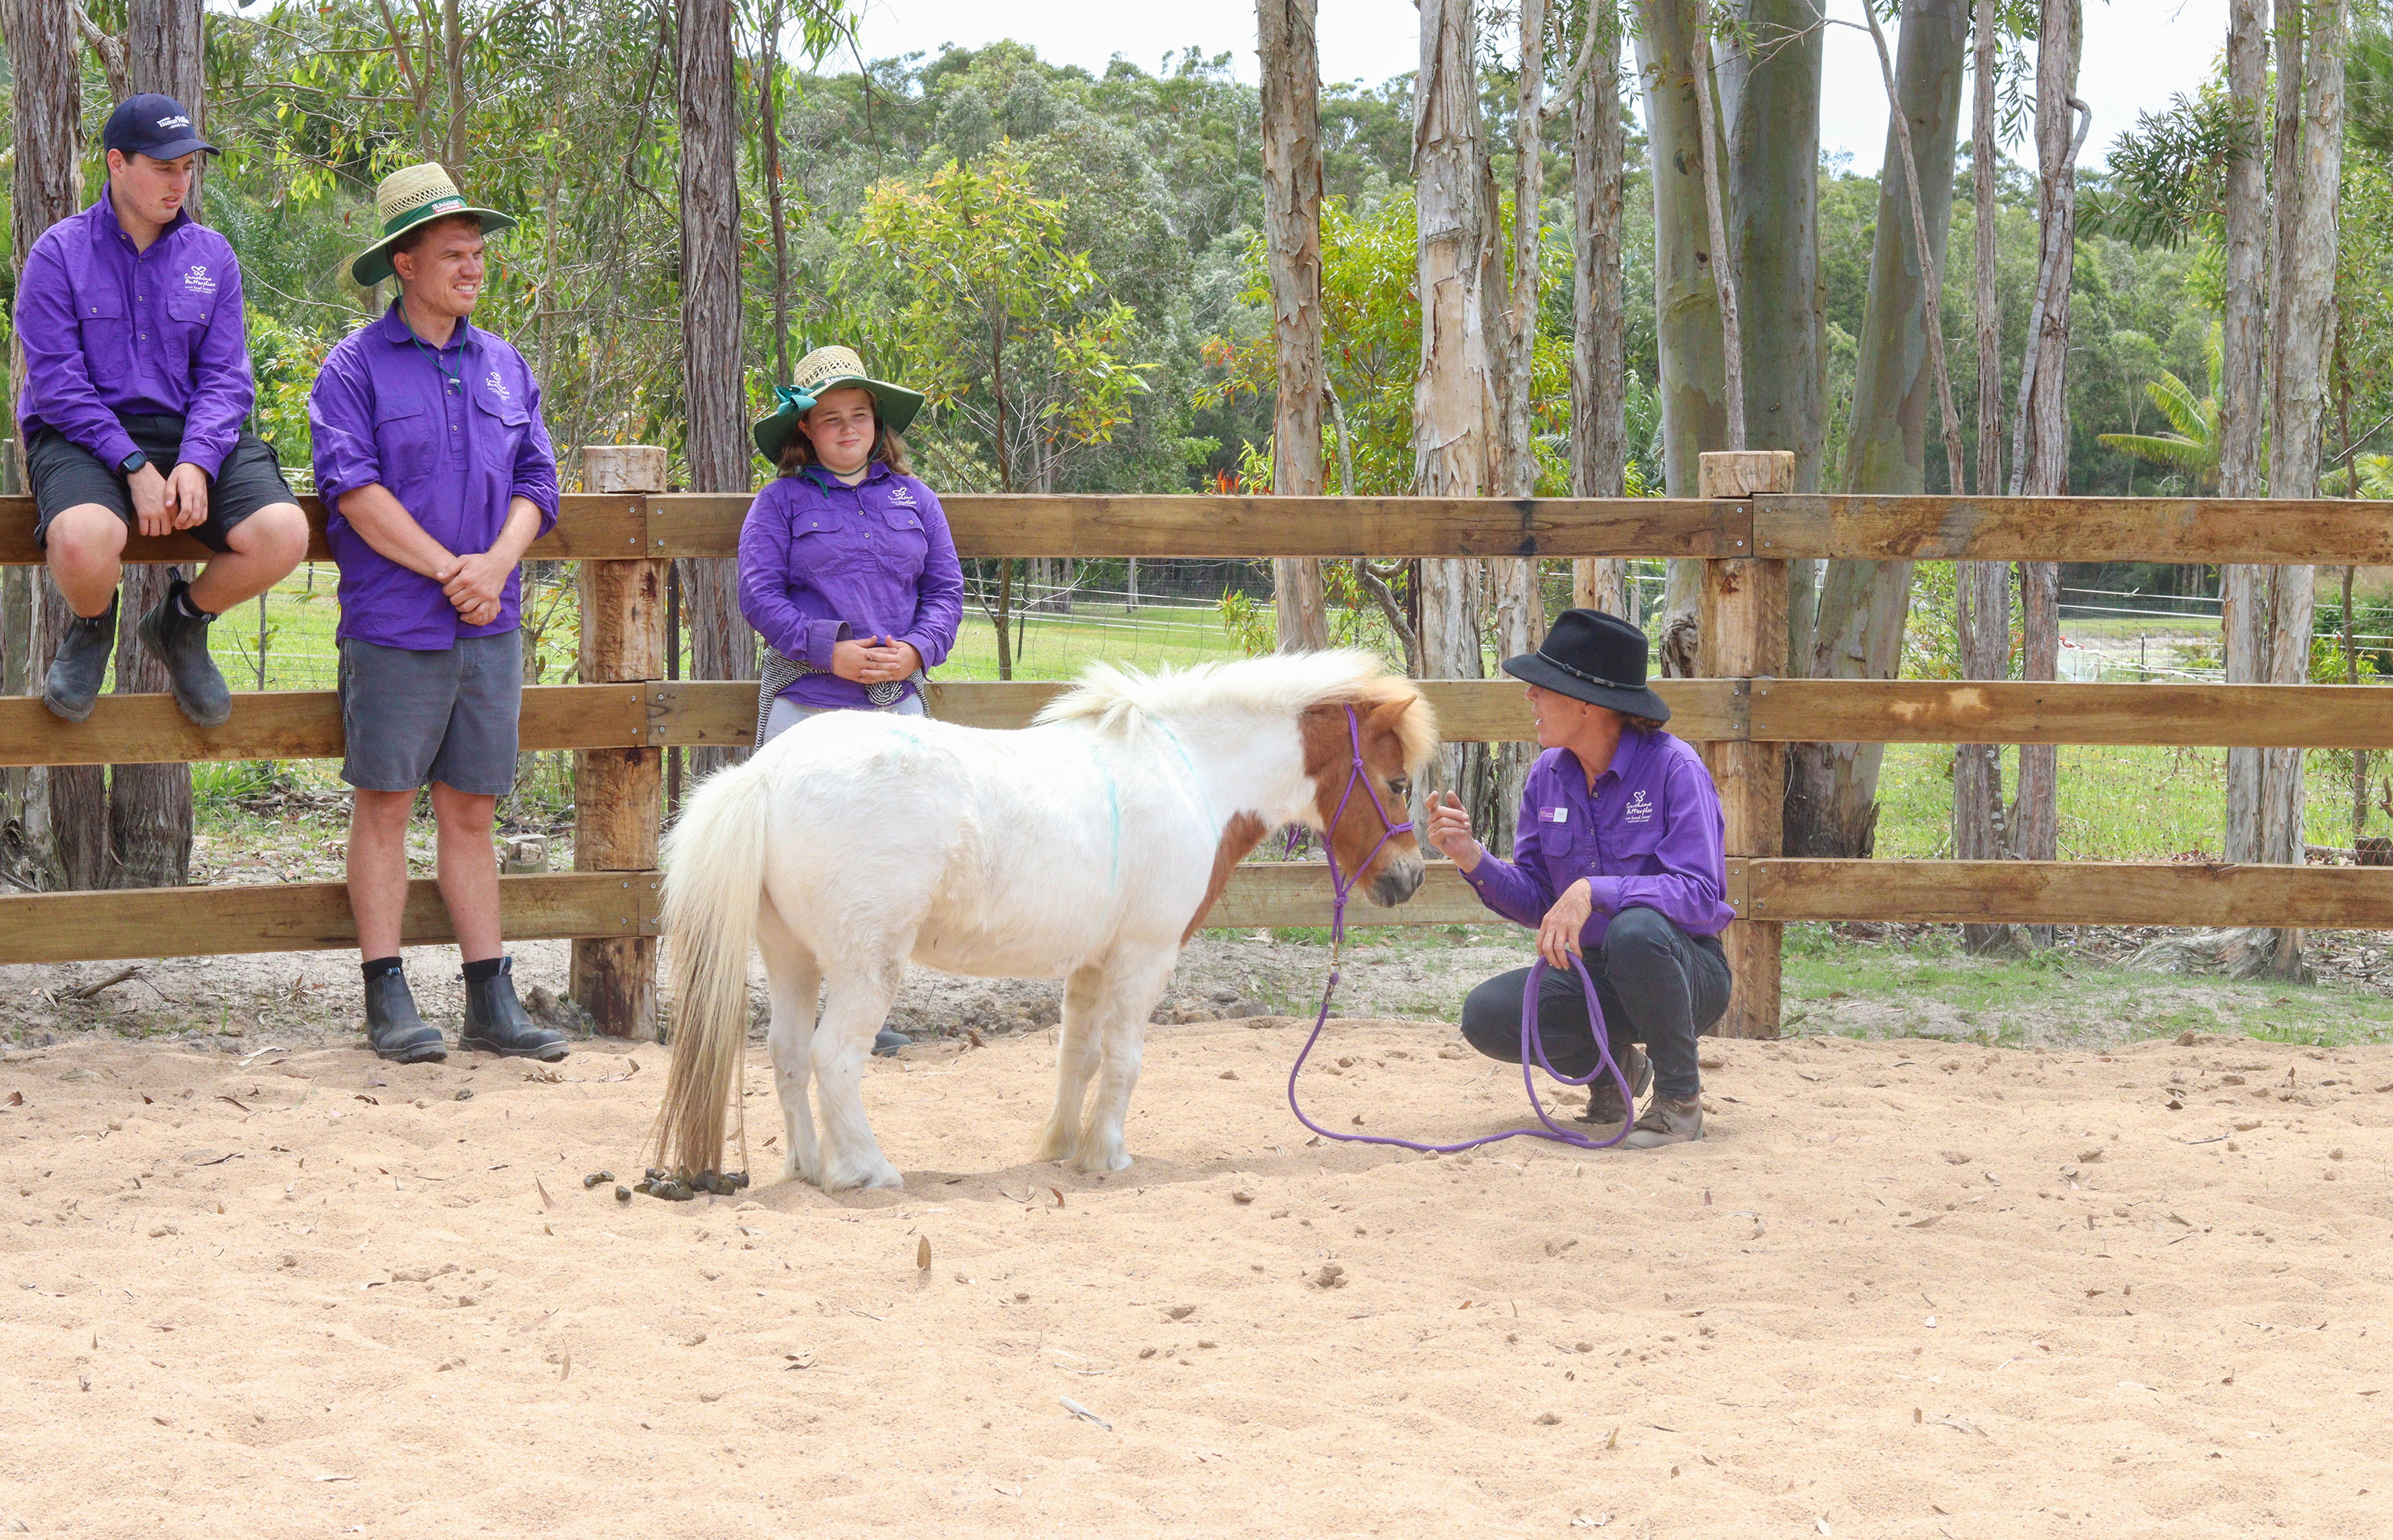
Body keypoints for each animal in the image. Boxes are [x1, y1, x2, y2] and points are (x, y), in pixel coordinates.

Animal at [650, 650, 1435, 1191]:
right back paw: (868, 1170)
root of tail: (765, 774)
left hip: (792, 959)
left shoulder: (1090, 964)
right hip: (863, 968)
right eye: (1398, 782)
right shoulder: (1144, 959)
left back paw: (811, 1169)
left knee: (785, 1056)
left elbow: (1076, 1058)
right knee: (832, 1058)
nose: (1409, 878)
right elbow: (1124, 1060)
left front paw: (1061, 1149)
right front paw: (1109, 1154)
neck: (1189, 773)